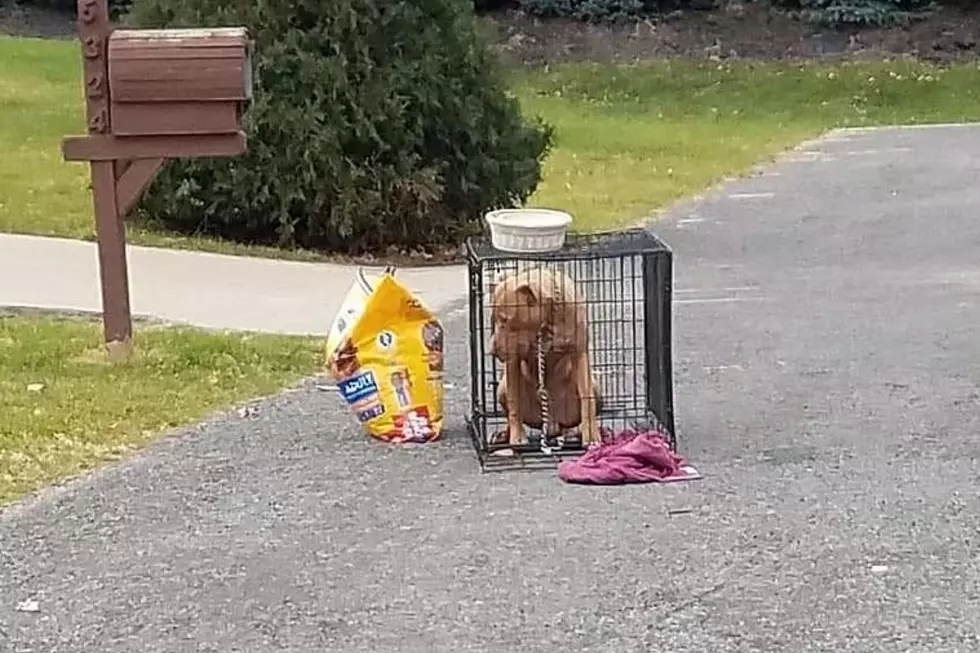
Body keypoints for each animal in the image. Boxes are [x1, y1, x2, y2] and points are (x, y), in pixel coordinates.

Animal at [488, 268, 600, 446]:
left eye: (505, 320)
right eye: (493, 319)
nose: (491, 351)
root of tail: (552, 425)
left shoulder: (580, 353)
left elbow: (587, 398)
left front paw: (592, 436)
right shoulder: (513, 361)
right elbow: (514, 403)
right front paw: (517, 437)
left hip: (596, 387)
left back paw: (575, 433)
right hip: (502, 388)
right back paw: (503, 434)